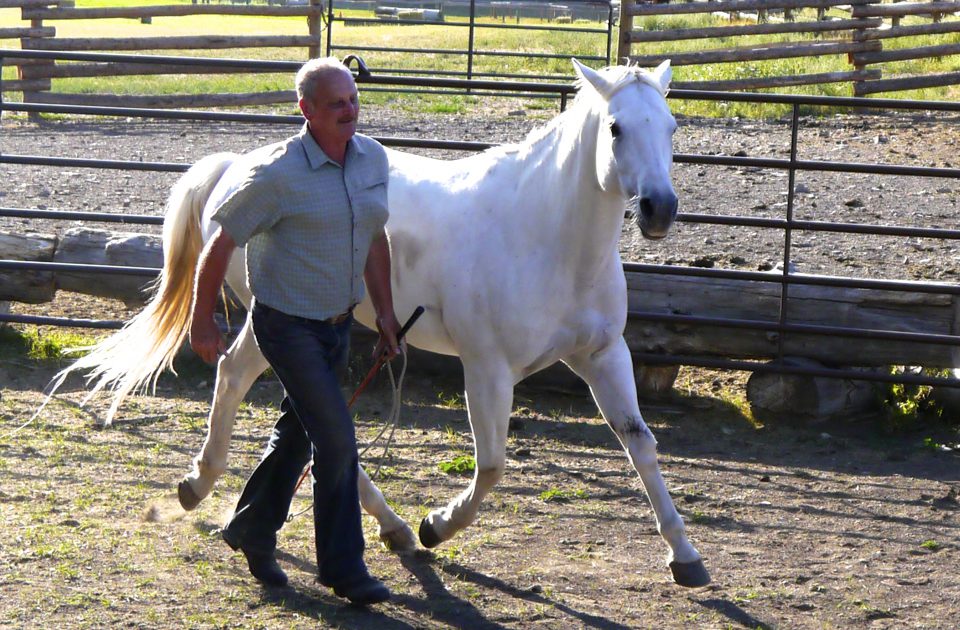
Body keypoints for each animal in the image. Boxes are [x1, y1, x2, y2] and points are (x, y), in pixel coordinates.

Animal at [56, 58, 708, 588]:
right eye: (616, 128)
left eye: (672, 128)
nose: (660, 210)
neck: (546, 238)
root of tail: (234, 169)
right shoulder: (488, 369)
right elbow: (492, 466)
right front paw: (436, 525)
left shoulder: (604, 356)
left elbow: (641, 446)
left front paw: (685, 558)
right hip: (275, 325)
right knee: (245, 382)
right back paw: (211, 487)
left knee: (298, 417)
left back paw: (376, 524)